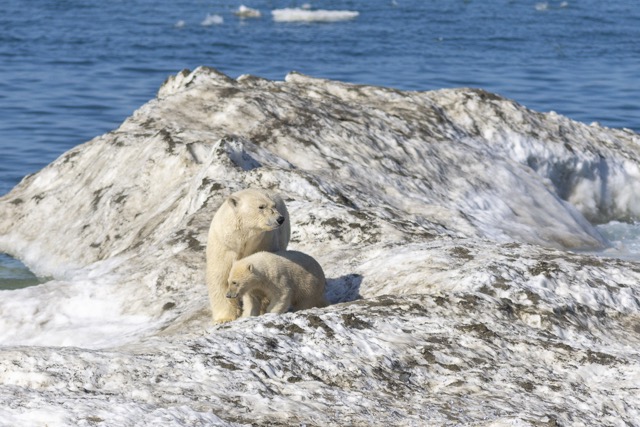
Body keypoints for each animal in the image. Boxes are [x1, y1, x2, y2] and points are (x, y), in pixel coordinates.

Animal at [205, 189, 290, 322]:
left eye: (274, 205)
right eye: (261, 206)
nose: (280, 219)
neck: (241, 240)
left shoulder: (263, 243)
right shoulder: (224, 247)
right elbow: (220, 277)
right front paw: (224, 318)